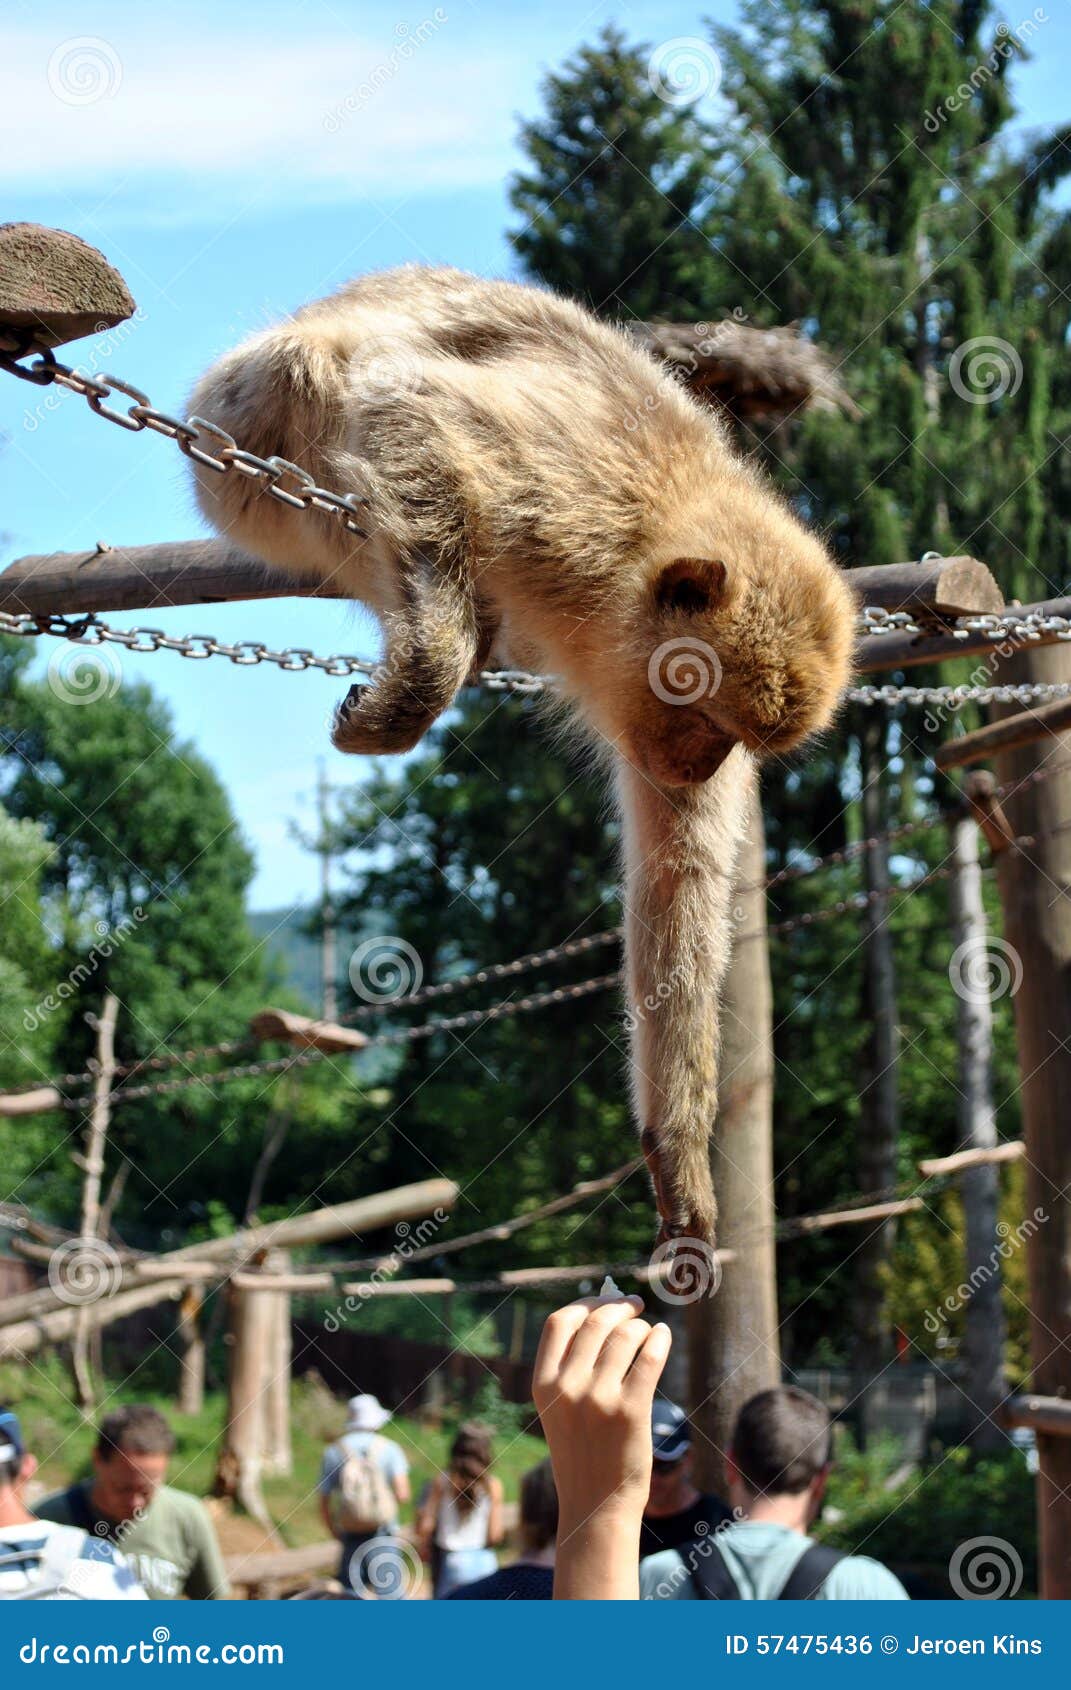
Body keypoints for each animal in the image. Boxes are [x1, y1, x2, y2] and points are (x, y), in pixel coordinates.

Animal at [188, 265, 856, 1250]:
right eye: (709, 714)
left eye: (737, 740)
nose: (701, 768)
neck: (620, 575)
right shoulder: (565, 507)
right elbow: (411, 405)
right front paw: (426, 669)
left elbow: (675, 888)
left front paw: (678, 1154)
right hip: (236, 418)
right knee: (327, 384)